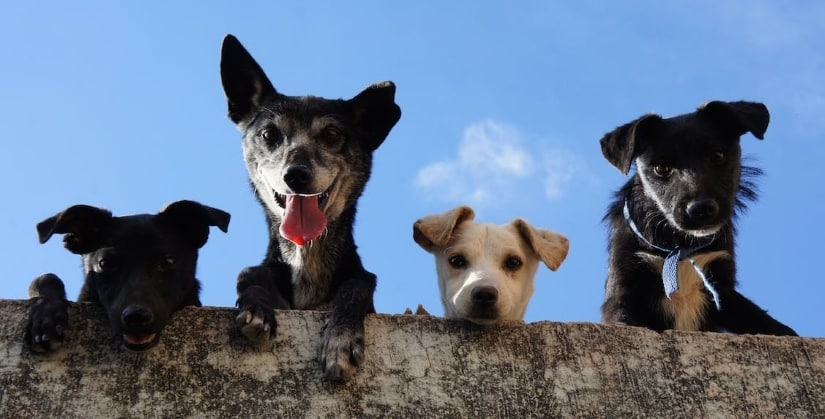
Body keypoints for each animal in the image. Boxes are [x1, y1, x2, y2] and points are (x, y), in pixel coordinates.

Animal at [217, 33, 400, 380]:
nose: (296, 175)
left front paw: (341, 340)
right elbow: (249, 274)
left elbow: (357, 285)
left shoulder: (359, 283)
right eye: (269, 133)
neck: (306, 260)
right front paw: (257, 309)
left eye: (331, 133)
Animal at [600, 100, 796, 336]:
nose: (701, 209)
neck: (680, 246)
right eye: (662, 167)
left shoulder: (722, 288)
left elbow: (762, 320)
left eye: (718, 156)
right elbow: (623, 319)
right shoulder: (624, 285)